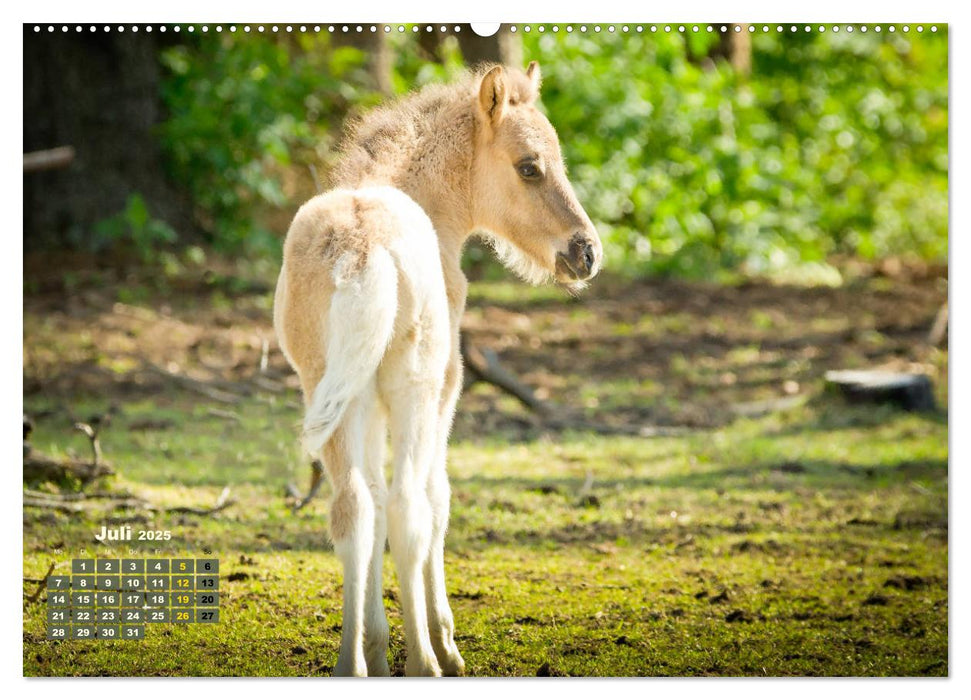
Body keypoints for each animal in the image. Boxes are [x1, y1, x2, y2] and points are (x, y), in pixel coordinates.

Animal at [274, 63, 604, 676]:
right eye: (530, 166)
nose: (587, 253)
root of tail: (363, 250)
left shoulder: (360, 398)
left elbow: (373, 503)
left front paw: (378, 649)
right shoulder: (444, 393)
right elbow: (436, 499)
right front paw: (444, 639)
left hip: (330, 394)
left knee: (354, 509)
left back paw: (353, 665)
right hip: (414, 389)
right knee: (409, 506)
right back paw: (429, 661)